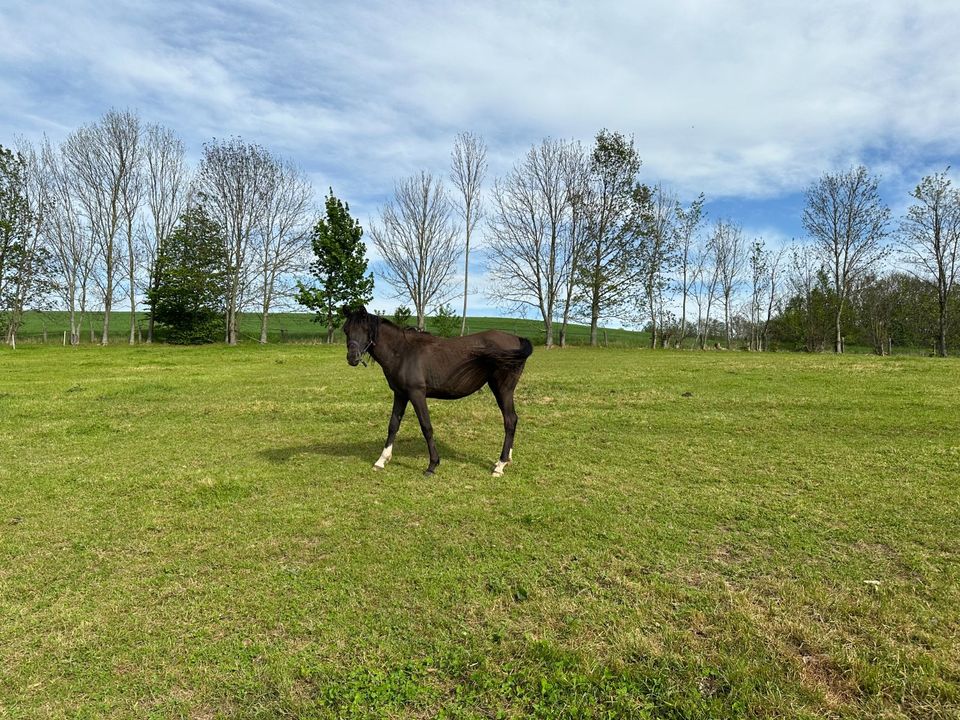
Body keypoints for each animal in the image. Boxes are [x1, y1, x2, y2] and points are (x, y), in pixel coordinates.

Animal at [340, 306, 536, 476]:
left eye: (365, 329)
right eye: (346, 330)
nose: (352, 358)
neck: (403, 352)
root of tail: (517, 339)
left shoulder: (417, 394)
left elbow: (426, 427)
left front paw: (432, 464)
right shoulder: (400, 394)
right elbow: (393, 425)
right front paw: (381, 460)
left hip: (503, 389)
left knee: (510, 420)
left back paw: (500, 465)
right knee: (512, 420)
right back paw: (505, 460)